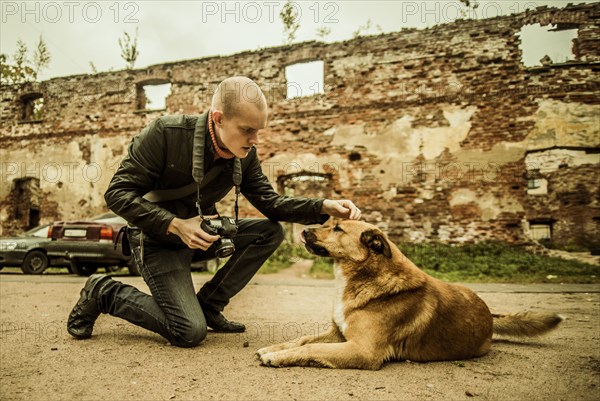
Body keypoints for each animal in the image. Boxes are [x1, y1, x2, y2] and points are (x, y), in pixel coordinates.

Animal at [256, 219, 564, 368]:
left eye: (338, 228)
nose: (305, 231)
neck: (365, 278)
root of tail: (490, 313)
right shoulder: (339, 334)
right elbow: (302, 339)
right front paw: (274, 349)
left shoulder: (362, 350)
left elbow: (311, 347)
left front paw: (277, 358)